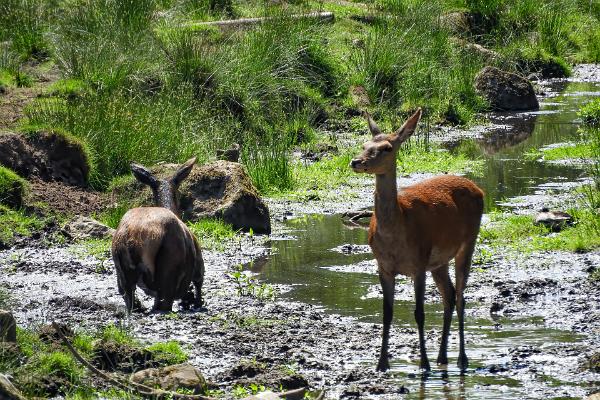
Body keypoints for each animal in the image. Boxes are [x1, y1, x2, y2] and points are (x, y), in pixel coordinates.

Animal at [111, 159, 205, 312]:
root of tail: (133, 242)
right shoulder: (199, 264)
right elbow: (198, 286)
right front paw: (196, 302)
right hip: (169, 265)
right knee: (164, 303)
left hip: (121, 269)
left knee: (128, 298)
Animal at [352, 108, 482, 372]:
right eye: (364, 144)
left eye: (387, 148)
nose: (356, 162)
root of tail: (479, 189)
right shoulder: (383, 266)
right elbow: (387, 313)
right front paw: (382, 364)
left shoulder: (419, 262)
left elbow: (419, 313)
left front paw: (423, 364)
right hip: (439, 261)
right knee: (449, 295)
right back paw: (442, 356)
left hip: (468, 242)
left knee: (461, 296)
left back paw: (461, 359)